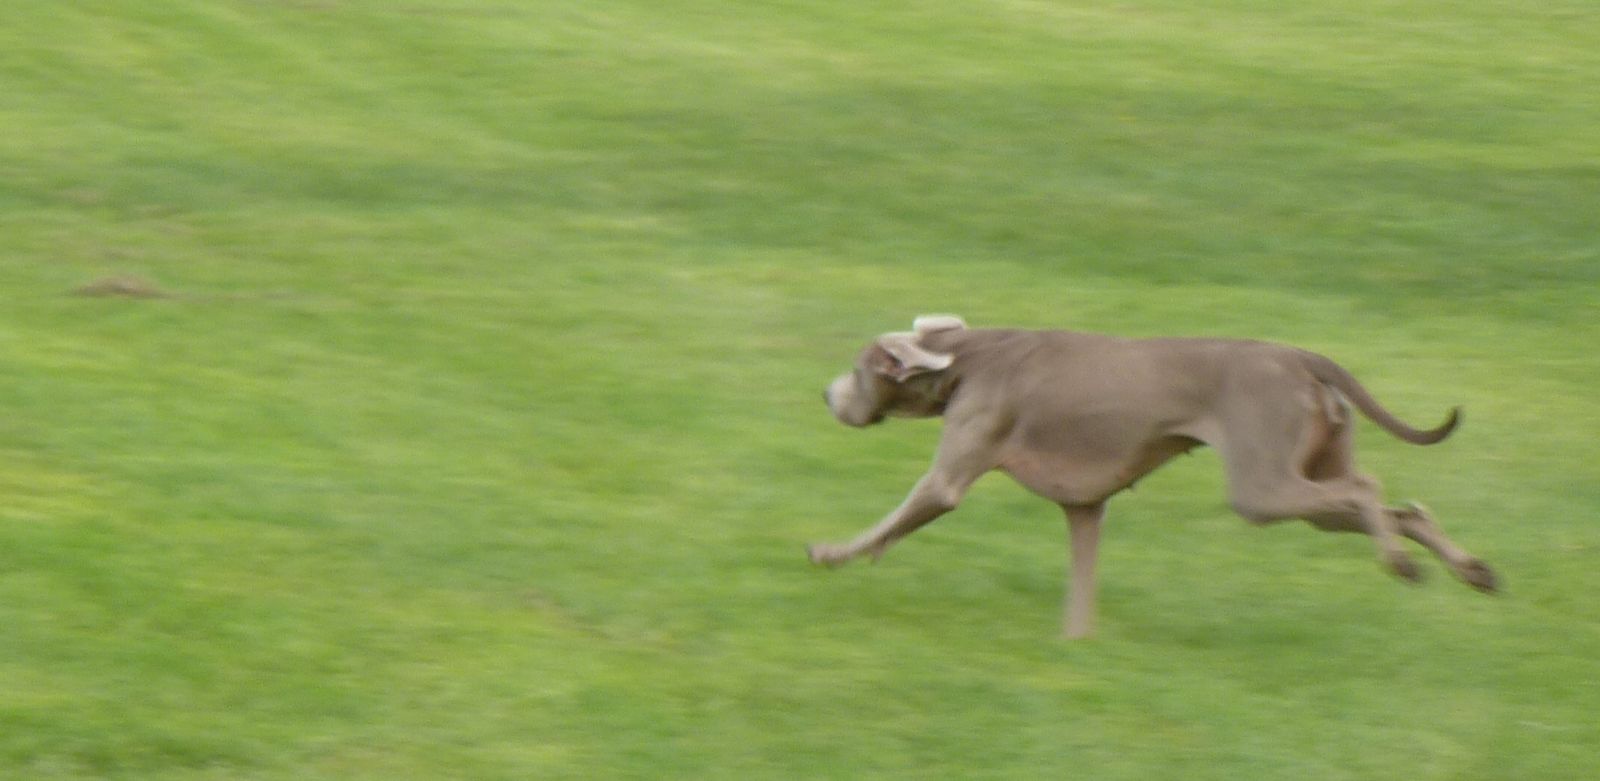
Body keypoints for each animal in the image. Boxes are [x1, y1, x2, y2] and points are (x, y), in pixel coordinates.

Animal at [810, 315, 1496, 639]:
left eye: (858, 369)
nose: (823, 395)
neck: (970, 358)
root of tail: (1302, 357)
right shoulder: (1086, 508)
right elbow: (1081, 587)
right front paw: (1076, 646)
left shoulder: (947, 480)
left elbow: (894, 520)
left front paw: (831, 552)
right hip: (1309, 478)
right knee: (1407, 510)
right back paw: (1472, 571)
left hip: (1263, 486)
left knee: (1369, 489)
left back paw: (1403, 565)